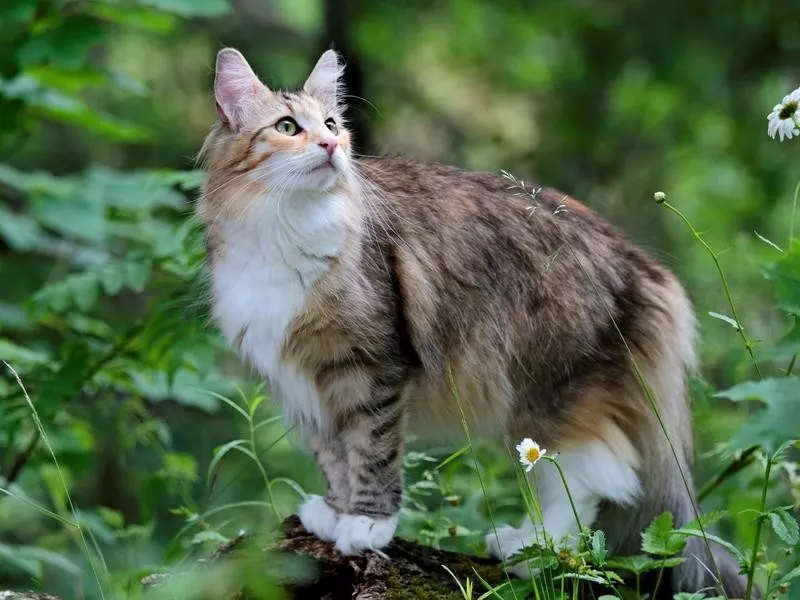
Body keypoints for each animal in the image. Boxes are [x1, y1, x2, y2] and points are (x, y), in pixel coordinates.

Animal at [198, 48, 752, 600]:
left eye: (332, 124)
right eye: (287, 127)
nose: (332, 145)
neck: (284, 226)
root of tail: (645, 266)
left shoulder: (372, 368)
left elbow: (372, 451)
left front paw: (367, 524)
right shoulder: (306, 379)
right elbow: (335, 458)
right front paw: (335, 514)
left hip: (547, 393)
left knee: (587, 479)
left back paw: (534, 549)